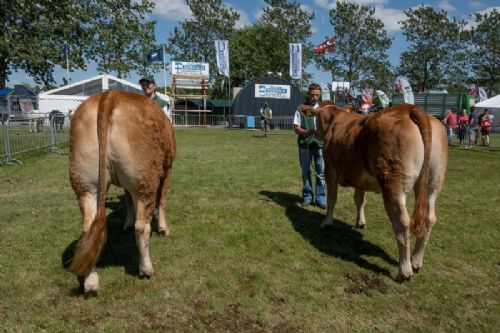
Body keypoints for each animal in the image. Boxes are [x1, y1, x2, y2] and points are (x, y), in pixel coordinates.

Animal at [67, 89, 175, 294]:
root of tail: (110, 95)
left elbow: (127, 200)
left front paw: (126, 223)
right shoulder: (167, 167)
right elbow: (163, 200)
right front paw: (164, 228)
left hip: (85, 182)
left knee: (88, 228)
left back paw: (91, 283)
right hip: (145, 177)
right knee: (142, 227)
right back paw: (146, 270)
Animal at [314, 102, 448, 280]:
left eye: (316, 118)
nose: (314, 133)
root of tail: (409, 108)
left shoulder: (329, 169)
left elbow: (332, 198)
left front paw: (326, 222)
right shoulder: (360, 179)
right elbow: (359, 200)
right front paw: (360, 222)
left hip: (393, 183)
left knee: (402, 223)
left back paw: (404, 270)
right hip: (434, 182)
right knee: (429, 218)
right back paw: (415, 261)